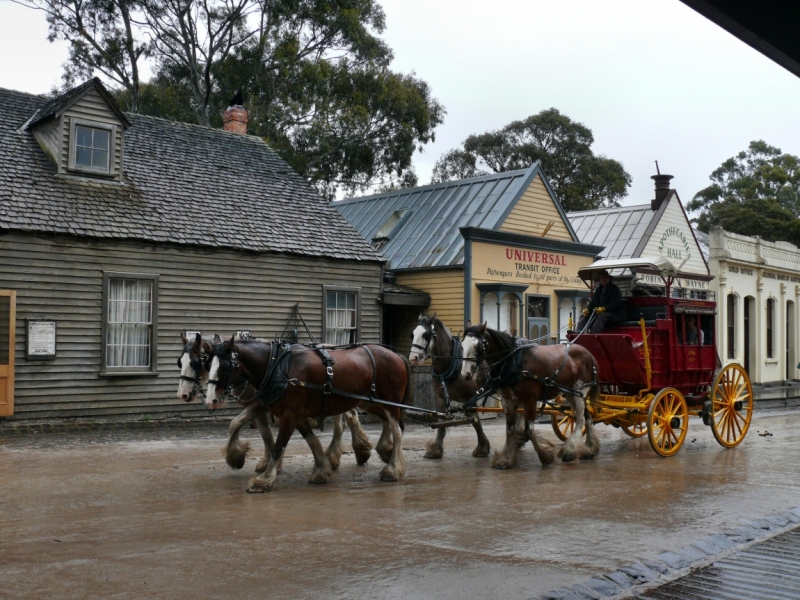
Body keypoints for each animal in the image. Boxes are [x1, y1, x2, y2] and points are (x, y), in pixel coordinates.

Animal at [206, 338, 412, 492]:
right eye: (208, 365)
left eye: (225, 367)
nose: (210, 400)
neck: (277, 366)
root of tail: (397, 356)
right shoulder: (288, 412)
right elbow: (311, 440)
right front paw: (321, 470)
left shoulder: (289, 415)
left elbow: (278, 447)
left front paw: (263, 480)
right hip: (370, 401)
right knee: (387, 423)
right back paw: (384, 450)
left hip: (388, 402)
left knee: (397, 429)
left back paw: (392, 468)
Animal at [410, 316, 490, 458]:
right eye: (412, 334)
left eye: (426, 335)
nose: (413, 358)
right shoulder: (441, 397)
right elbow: (441, 422)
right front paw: (436, 449)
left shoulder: (470, 397)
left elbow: (475, 421)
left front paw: (482, 448)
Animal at [460, 324, 596, 468]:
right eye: (462, 345)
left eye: (478, 345)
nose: (465, 374)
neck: (514, 362)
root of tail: (588, 353)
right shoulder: (508, 401)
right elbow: (510, 429)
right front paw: (506, 458)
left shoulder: (530, 400)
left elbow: (529, 430)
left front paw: (545, 456)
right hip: (570, 393)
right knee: (587, 417)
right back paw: (589, 449)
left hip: (581, 390)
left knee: (580, 419)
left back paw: (570, 450)